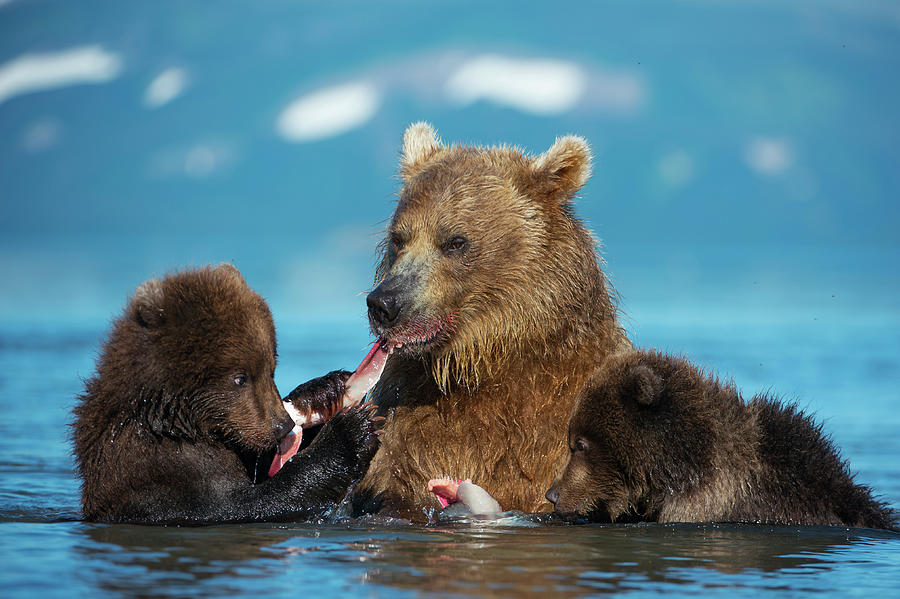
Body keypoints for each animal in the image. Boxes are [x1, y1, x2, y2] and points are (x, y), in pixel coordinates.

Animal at [72, 264, 378, 524]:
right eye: (239, 378)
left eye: (271, 369)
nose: (282, 425)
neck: (175, 422)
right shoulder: (163, 472)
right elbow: (243, 504)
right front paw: (350, 430)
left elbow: (260, 463)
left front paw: (326, 389)